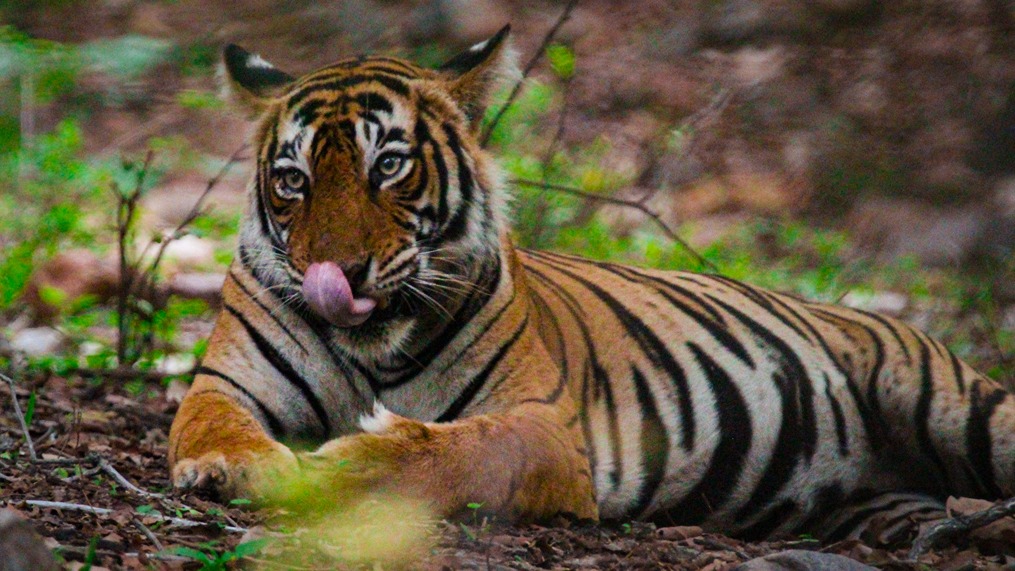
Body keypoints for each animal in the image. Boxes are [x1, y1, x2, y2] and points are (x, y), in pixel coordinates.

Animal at [168, 25, 1015, 543]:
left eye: (389, 165)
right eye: (293, 180)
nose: (335, 276)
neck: (370, 347)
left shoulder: (544, 422)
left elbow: (455, 449)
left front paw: (353, 464)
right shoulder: (225, 380)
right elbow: (210, 420)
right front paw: (237, 466)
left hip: (961, 406)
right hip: (883, 504)